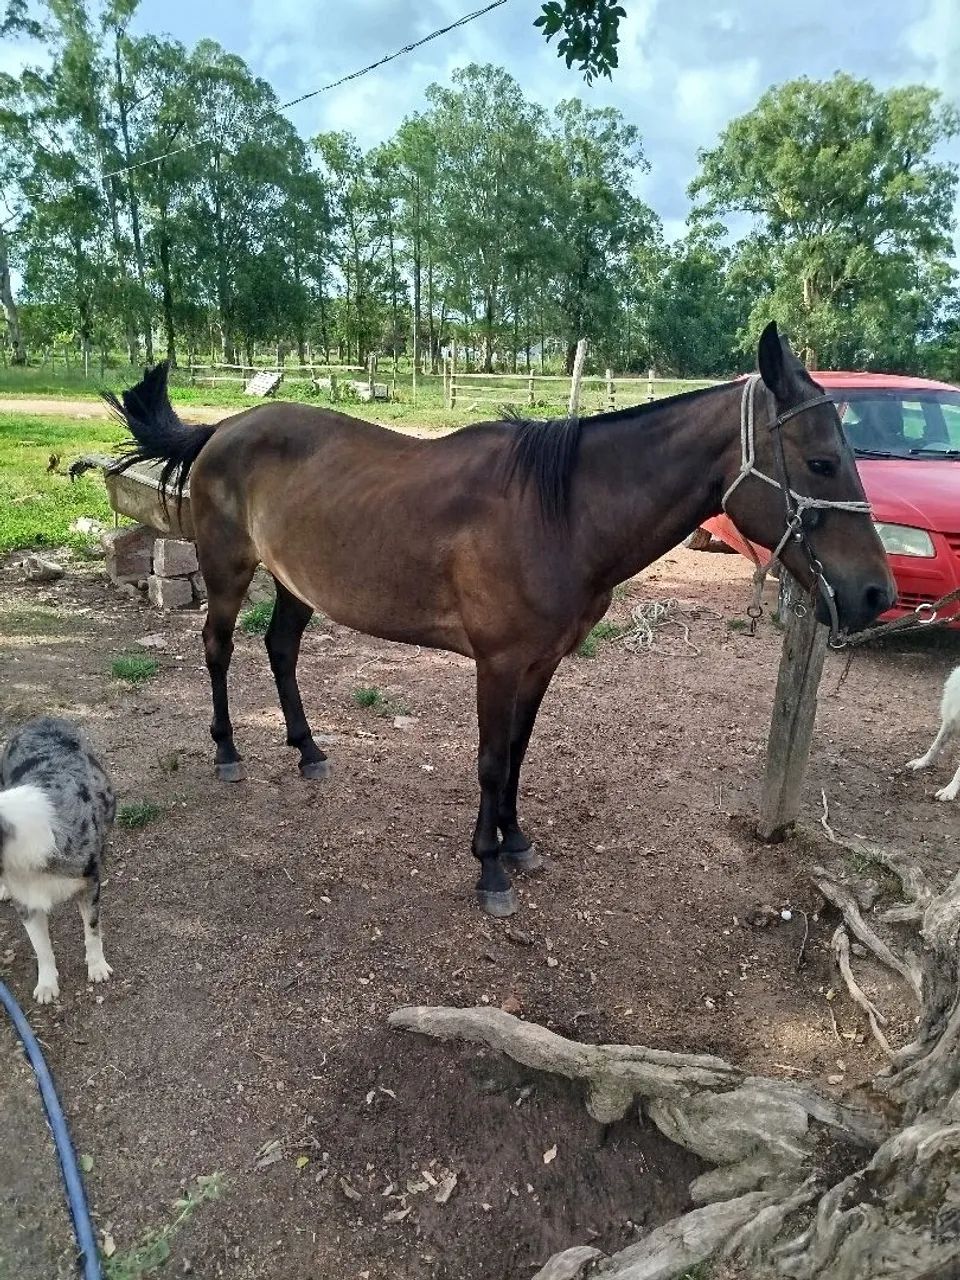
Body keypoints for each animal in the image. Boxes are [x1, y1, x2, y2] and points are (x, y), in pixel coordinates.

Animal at [108, 322, 894, 916]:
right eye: (822, 462)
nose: (876, 594)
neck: (559, 513)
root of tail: (224, 428)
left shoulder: (541, 662)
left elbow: (517, 752)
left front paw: (516, 843)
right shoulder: (498, 662)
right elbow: (490, 760)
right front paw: (488, 868)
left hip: (297, 584)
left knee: (279, 649)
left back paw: (307, 750)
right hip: (228, 572)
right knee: (216, 648)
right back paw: (227, 753)